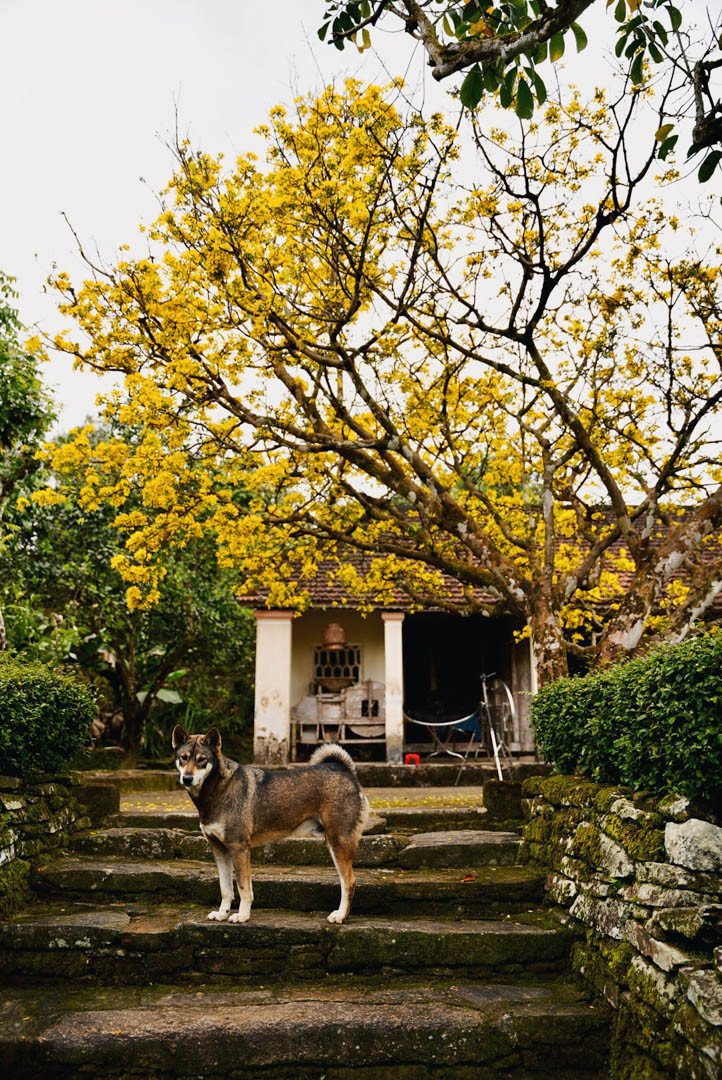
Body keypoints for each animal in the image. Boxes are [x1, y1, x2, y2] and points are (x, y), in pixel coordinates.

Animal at [171, 725, 369, 920]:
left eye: (202, 760)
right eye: (183, 758)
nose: (187, 778)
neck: (218, 789)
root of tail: (345, 770)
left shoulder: (239, 847)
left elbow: (243, 887)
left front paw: (242, 916)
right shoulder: (219, 849)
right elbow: (225, 888)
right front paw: (222, 914)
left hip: (338, 843)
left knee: (349, 882)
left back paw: (340, 916)